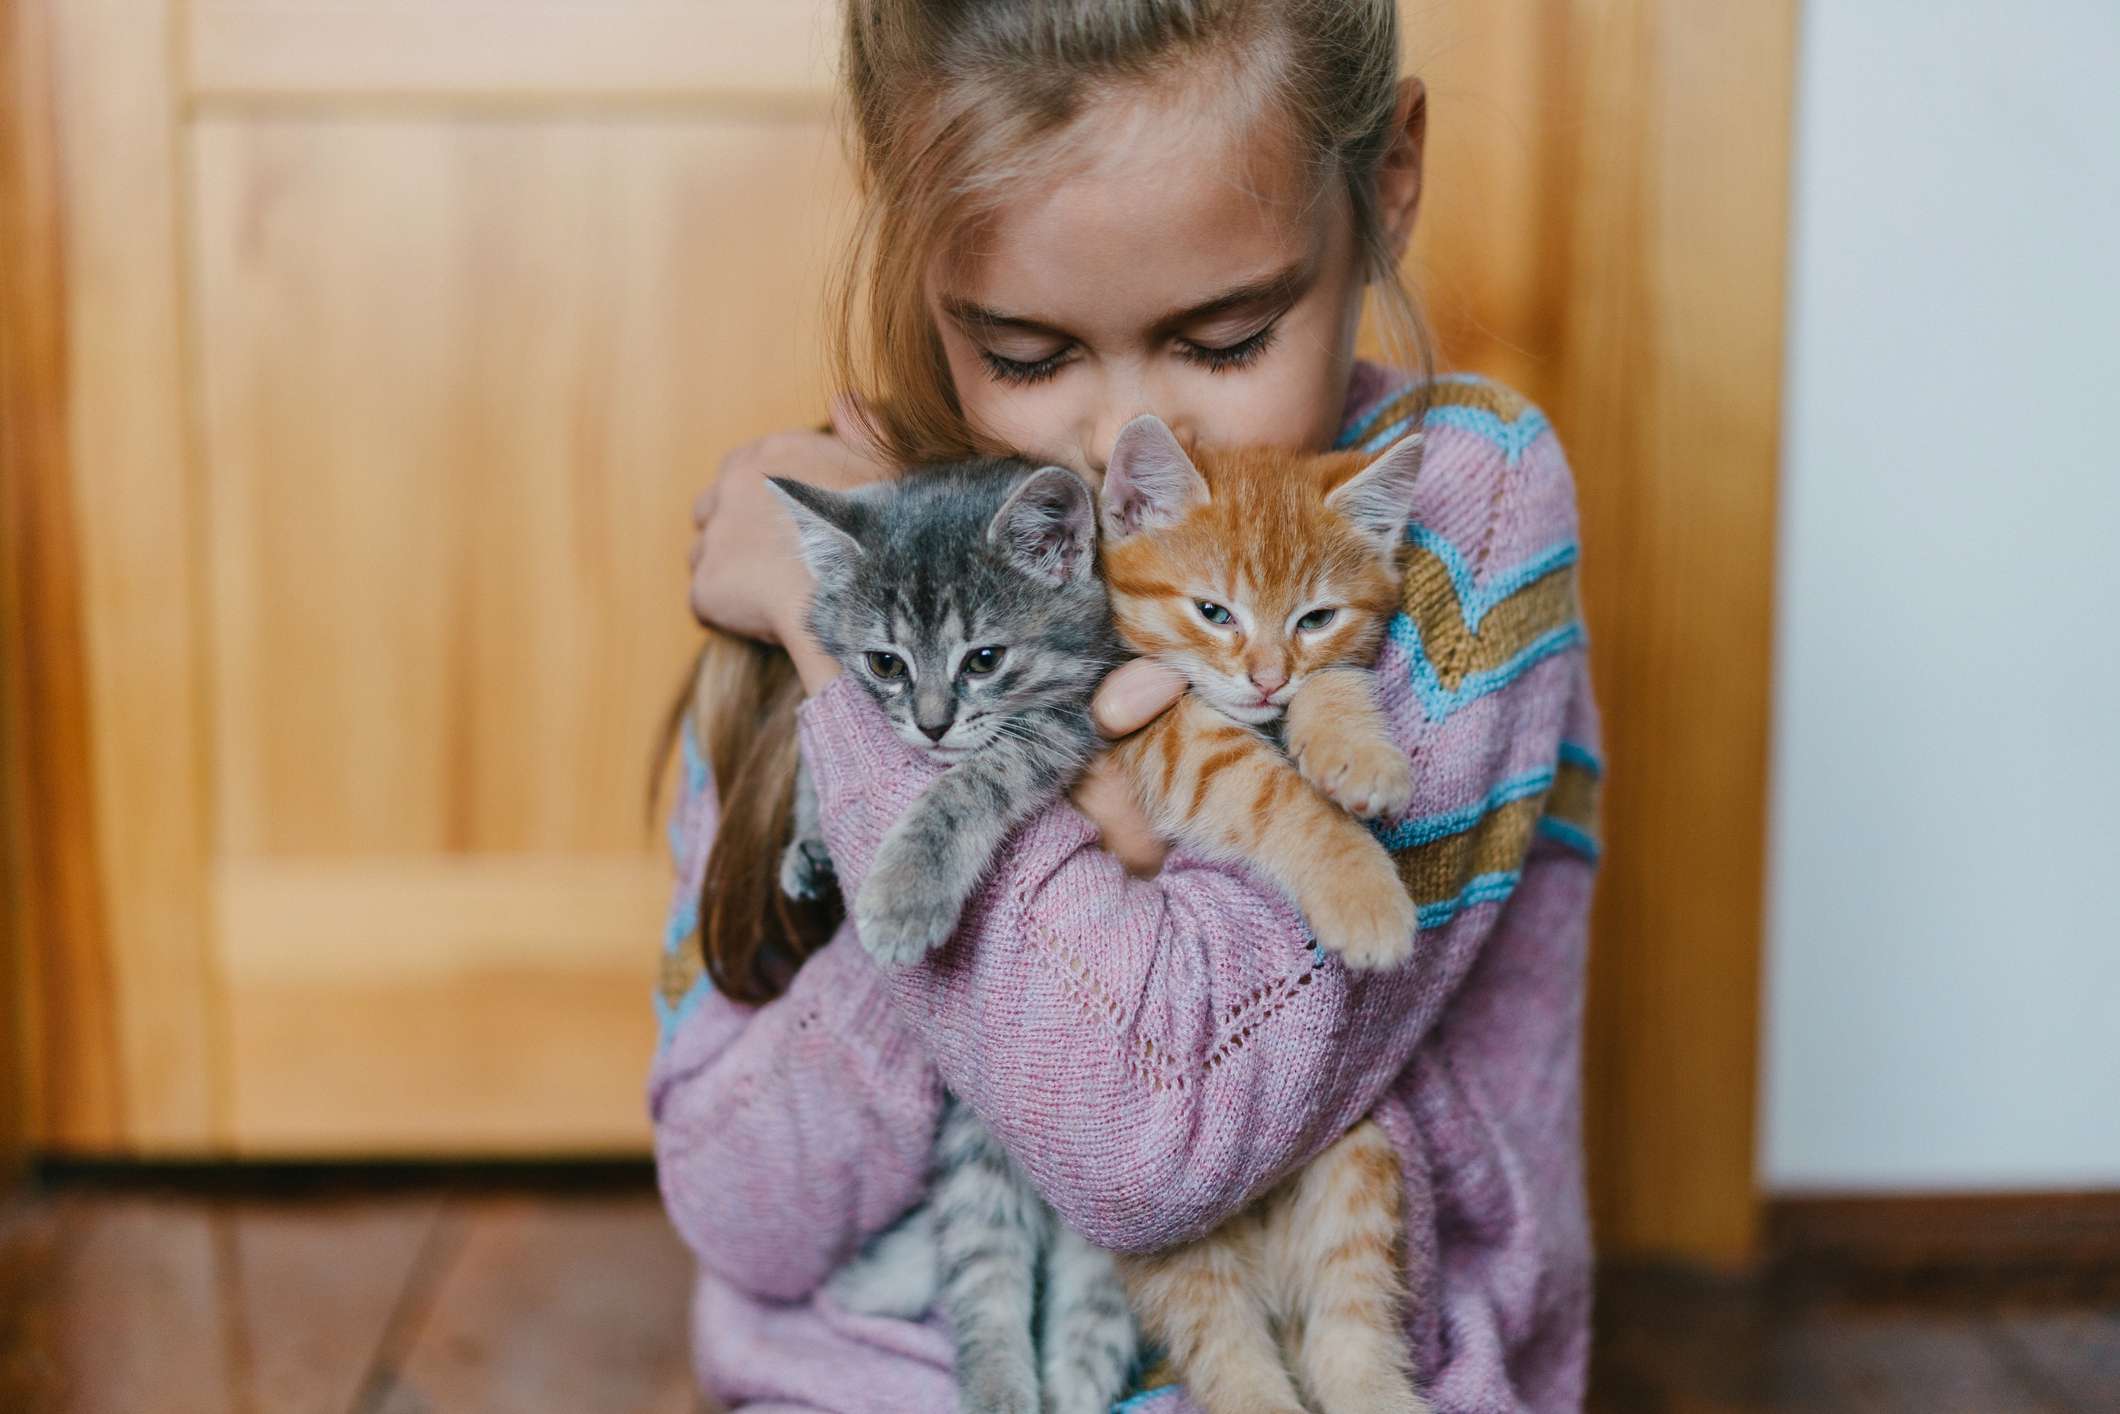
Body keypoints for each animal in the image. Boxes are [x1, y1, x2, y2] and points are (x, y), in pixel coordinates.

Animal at [775, 464, 1144, 1414]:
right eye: (886, 664)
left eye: (985, 660)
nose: (934, 722)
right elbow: (819, 754)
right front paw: (812, 841)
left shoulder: (1071, 716)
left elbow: (972, 781)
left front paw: (904, 892)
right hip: (980, 1158)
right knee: (983, 1277)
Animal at [1093, 415, 1424, 1414]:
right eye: (1214, 612)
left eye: (1314, 618)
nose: (1268, 676)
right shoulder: (1160, 736)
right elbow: (1266, 789)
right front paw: (1362, 891)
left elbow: (1336, 686)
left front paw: (1357, 751)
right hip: (1167, 1230)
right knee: (1228, 1342)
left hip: (1354, 1155)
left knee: (1348, 1325)